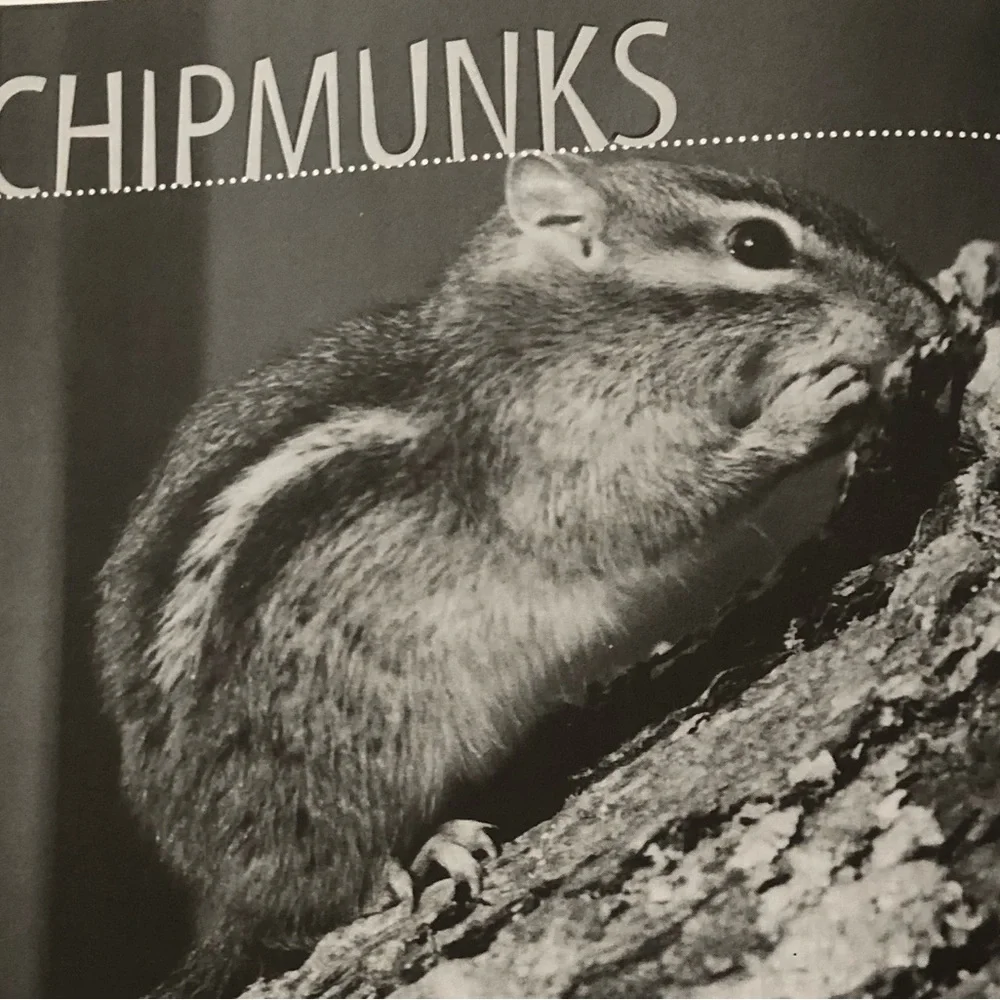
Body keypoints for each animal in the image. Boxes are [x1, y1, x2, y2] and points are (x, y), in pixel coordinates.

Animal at [93, 150, 950, 997]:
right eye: (756, 245)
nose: (934, 318)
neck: (577, 326)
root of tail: (223, 894)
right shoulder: (573, 455)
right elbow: (658, 507)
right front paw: (812, 410)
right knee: (322, 895)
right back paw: (420, 854)